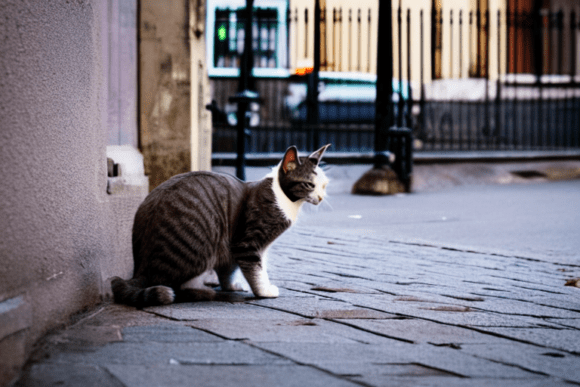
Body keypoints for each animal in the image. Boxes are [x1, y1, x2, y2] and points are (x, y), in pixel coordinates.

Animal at [111, 145, 328, 310]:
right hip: (197, 249)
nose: (321, 197)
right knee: (175, 287)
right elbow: (257, 270)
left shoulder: (231, 247)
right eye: (309, 185)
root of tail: (139, 269)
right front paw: (264, 291)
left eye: (324, 185)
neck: (284, 199)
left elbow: (229, 269)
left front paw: (231, 286)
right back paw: (203, 292)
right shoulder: (248, 244)